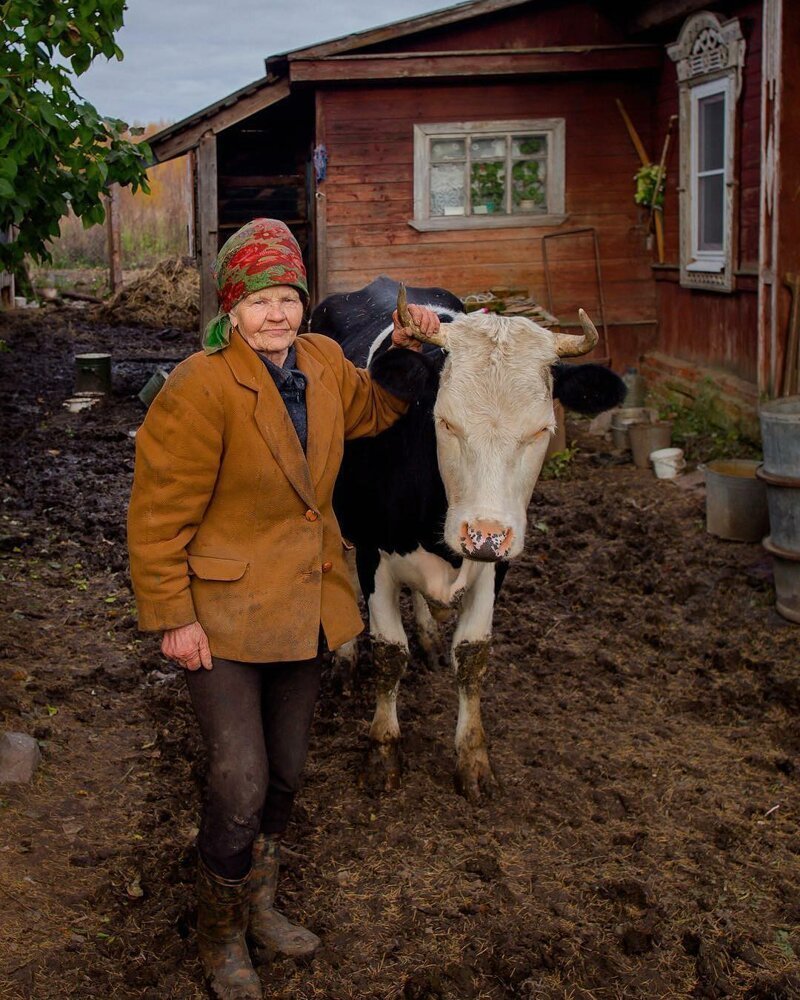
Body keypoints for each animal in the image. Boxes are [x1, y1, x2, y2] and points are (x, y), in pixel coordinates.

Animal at [308, 276, 624, 804]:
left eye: (541, 429)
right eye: (445, 422)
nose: (484, 534)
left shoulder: (499, 564)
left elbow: (473, 656)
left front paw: (473, 759)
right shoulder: (375, 554)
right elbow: (389, 654)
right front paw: (382, 752)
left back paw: (430, 639)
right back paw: (345, 662)